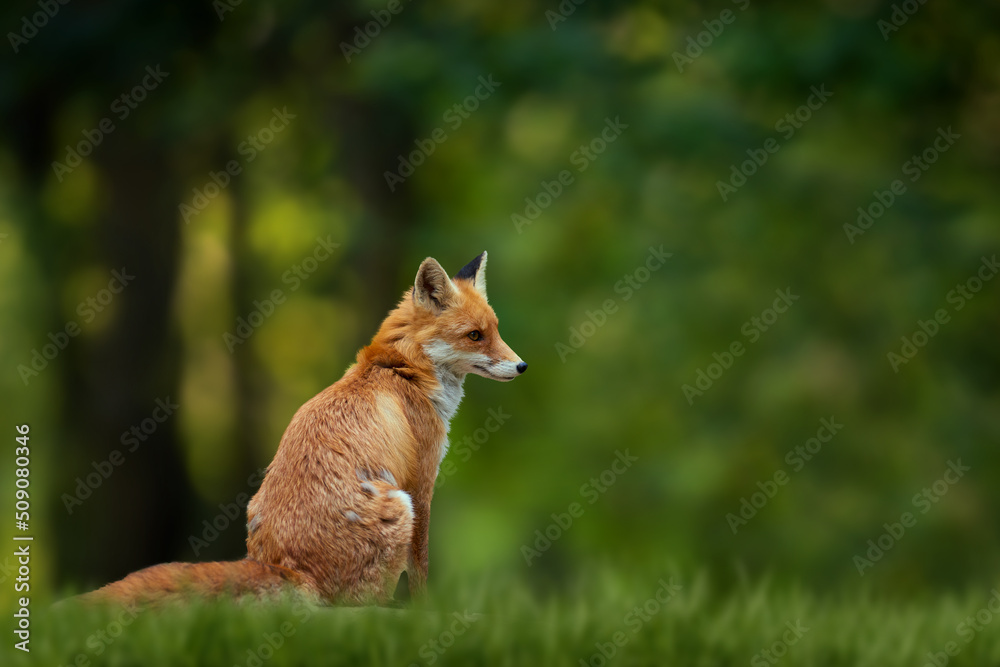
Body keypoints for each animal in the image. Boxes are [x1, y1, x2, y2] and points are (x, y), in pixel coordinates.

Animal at [80, 252, 524, 604]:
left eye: (496, 331)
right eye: (475, 336)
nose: (522, 366)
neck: (402, 371)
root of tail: (288, 568)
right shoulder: (422, 483)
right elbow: (422, 570)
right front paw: (425, 612)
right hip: (400, 509)